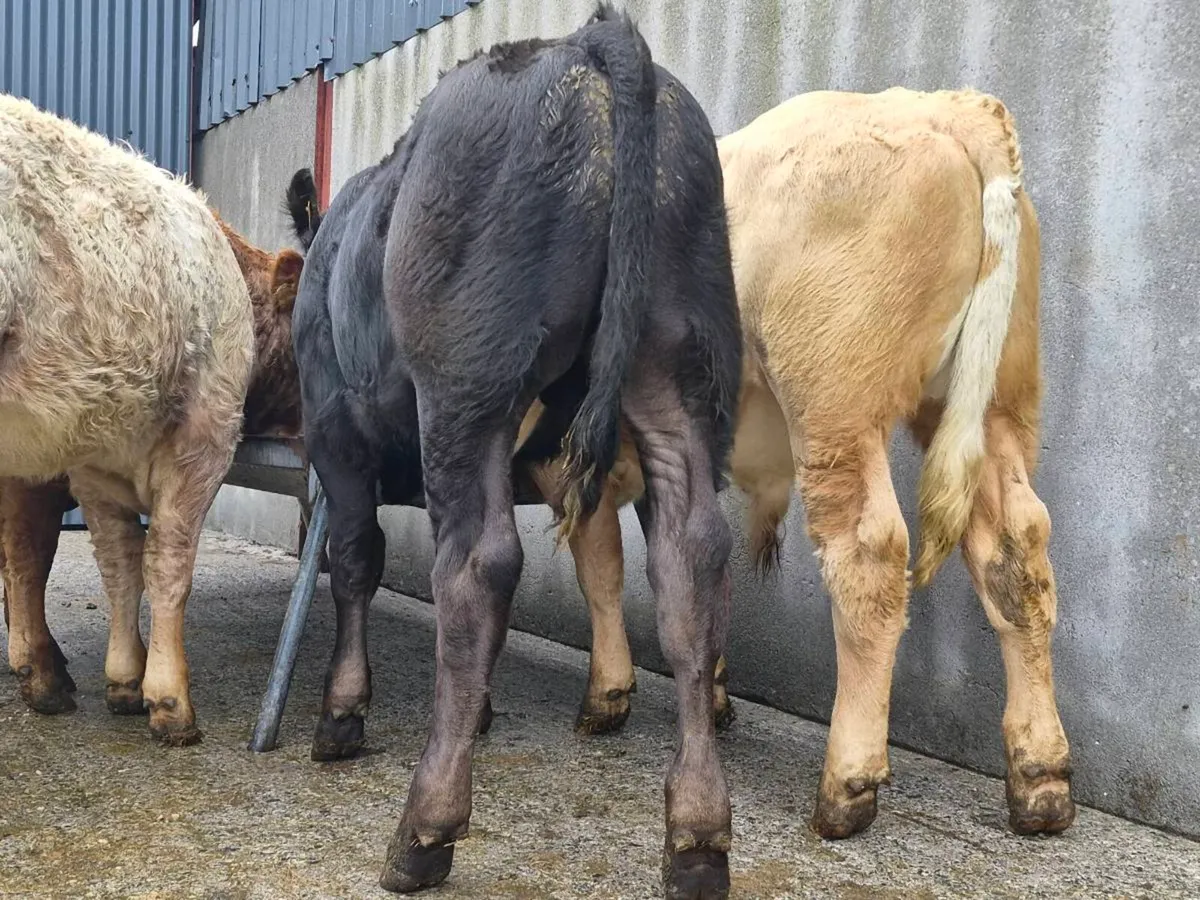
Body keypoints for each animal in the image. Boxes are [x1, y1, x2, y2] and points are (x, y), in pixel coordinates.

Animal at [0, 91, 254, 746]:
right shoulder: (207, 433)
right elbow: (167, 560)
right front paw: (169, 700)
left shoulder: (91, 461)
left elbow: (116, 562)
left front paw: (121, 680)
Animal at [291, 6, 741, 896]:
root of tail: (588, 43)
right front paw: (483, 711)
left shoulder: (335, 429)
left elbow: (354, 560)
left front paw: (342, 712)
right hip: (679, 366)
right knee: (690, 558)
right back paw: (698, 839)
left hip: (469, 384)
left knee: (478, 564)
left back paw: (425, 829)